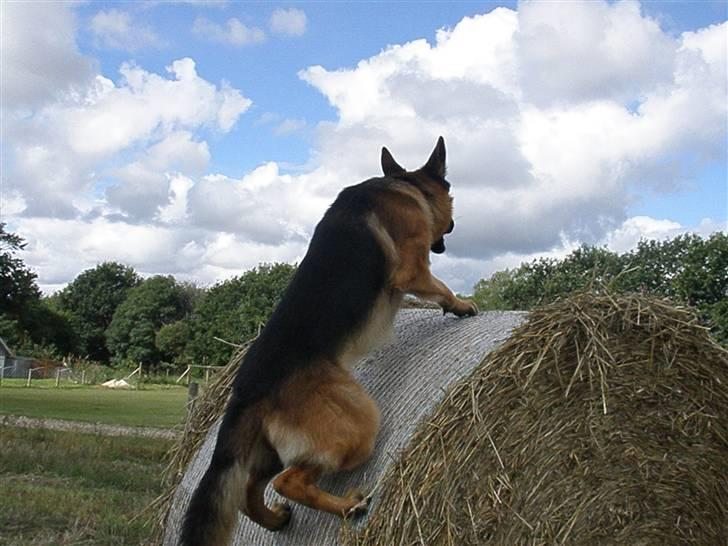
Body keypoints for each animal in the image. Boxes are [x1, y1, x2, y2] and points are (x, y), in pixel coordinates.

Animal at [179, 137, 478, 544]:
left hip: (269, 453)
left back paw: (275, 519)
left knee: (247, 492)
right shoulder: (412, 269)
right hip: (356, 424)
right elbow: (441, 286)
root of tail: (245, 392)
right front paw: (460, 305)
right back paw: (348, 507)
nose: (451, 227)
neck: (407, 185)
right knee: (288, 482)